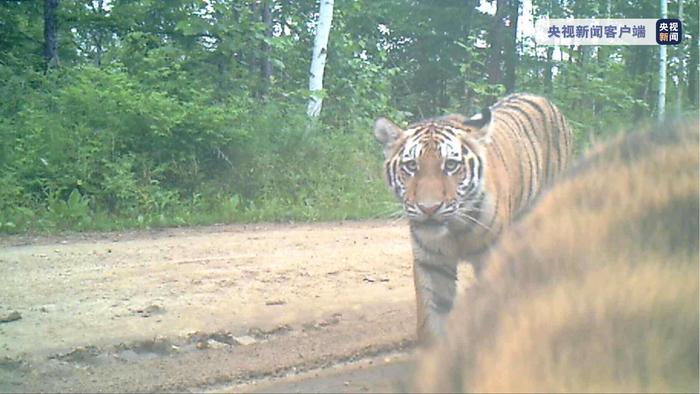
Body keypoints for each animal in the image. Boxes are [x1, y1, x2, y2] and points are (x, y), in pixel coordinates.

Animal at [374, 94, 572, 344]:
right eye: (411, 166)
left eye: (450, 165)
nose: (429, 208)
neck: (456, 228)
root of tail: (541, 97)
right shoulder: (431, 263)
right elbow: (432, 321)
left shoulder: (491, 258)